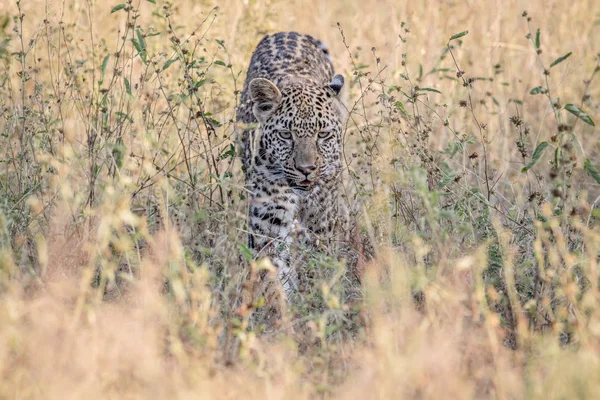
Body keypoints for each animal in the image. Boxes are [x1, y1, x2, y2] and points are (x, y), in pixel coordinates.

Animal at [237, 31, 350, 296]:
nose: (306, 170)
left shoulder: (322, 216)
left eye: (323, 134)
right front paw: (280, 300)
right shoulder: (269, 216)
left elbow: (320, 259)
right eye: (286, 135)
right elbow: (273, 263)